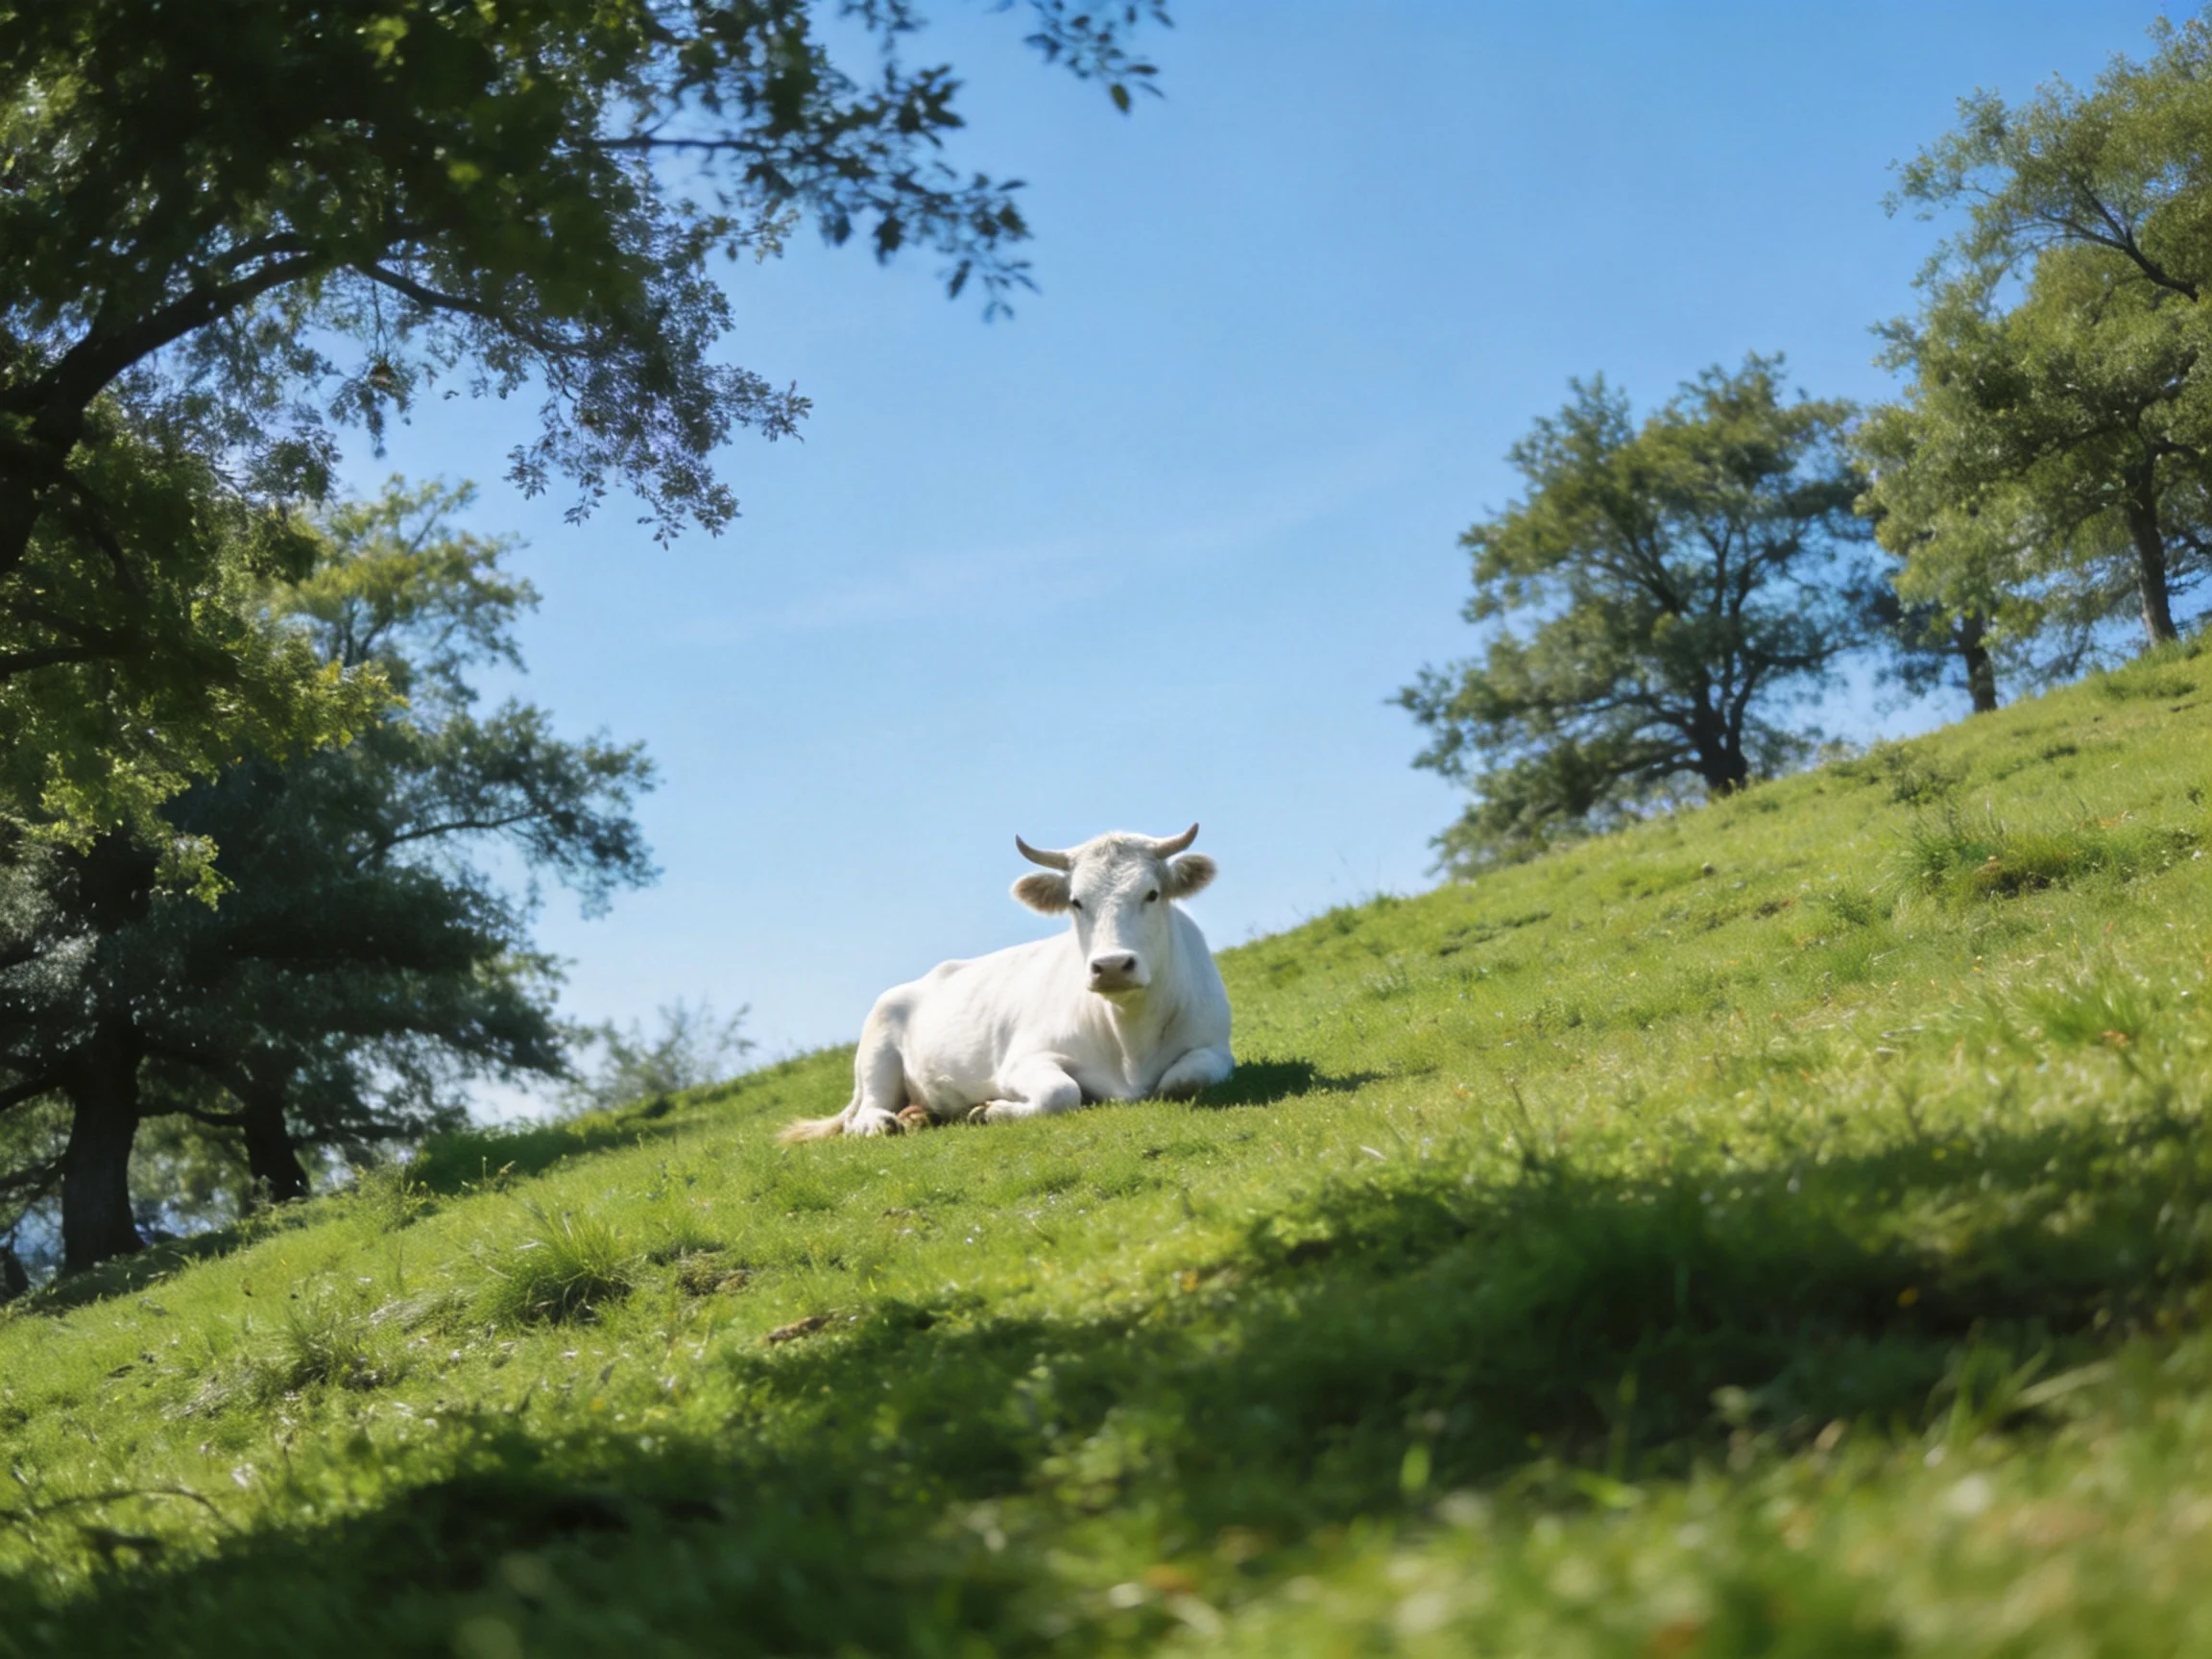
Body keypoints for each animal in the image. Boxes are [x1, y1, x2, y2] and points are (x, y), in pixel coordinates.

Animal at [779, 824, 1234, 1141]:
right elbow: (1060, 1093)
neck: (1128, 1037)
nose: (1111, 966)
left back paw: (918, 1116)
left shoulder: (1215, 1048)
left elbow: (1183, 1079)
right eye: (1076, 902)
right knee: (863, 1112)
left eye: (1152, 894)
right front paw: (991, 1111)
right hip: (877, 1050)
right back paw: (883, 1123)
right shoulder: (1022, 1060)